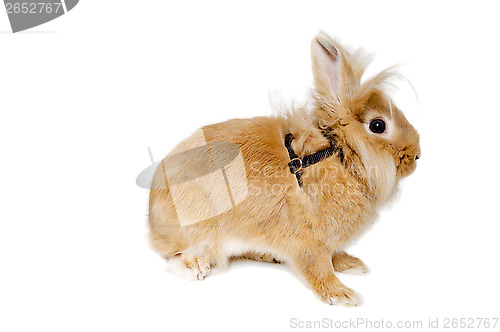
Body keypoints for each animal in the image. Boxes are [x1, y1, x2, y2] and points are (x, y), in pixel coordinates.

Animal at [147, 31, 418, 306]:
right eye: (378, 125)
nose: (416, 155)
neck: (337, 153)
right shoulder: (309, 243)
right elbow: (319, 268)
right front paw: (342, 295)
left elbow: (333, 255)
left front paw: (352, 264)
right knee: (178, 257)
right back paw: (197, 267)